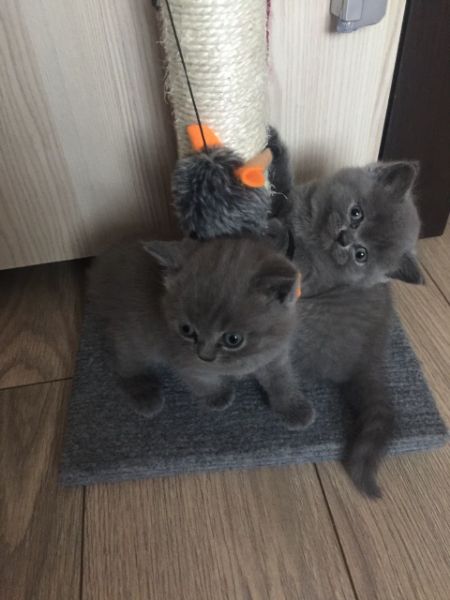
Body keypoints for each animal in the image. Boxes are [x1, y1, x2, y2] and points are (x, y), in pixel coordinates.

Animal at [88, 237, 312, 428]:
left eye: (233, 339)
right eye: (186, 330)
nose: (204, 356)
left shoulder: (276, 353)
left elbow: (281, 379)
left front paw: (294, 408)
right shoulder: (177, 353)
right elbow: (199, 379)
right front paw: (218, 396)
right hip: (132, 333)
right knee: (125, 362)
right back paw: (145, 394)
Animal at [268, 129, 424, 500]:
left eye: (361, 254)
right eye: (357, 214)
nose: (343, 237)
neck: (312, 227)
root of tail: (368, 360)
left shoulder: (306, 275)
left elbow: (287, 246)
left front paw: (276, 229)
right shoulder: (298, 198)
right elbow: (284, 190)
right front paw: (276, 151)